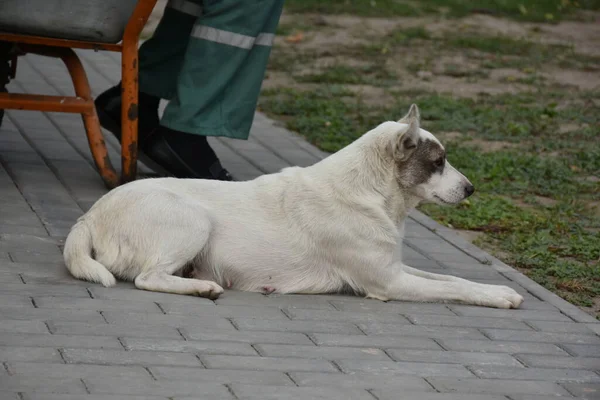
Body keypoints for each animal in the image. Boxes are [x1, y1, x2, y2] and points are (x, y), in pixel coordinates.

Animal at [65, 104, 524, 308]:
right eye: (438, 162)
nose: (471, 189)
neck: (370, 194)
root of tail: (89, 215)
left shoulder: (395, 267)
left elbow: (450, 278)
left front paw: (498, 288)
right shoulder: (389, 283)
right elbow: (456, 288)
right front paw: (498, 297)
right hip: (193, 222)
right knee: (148, 278)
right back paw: (201, 287)